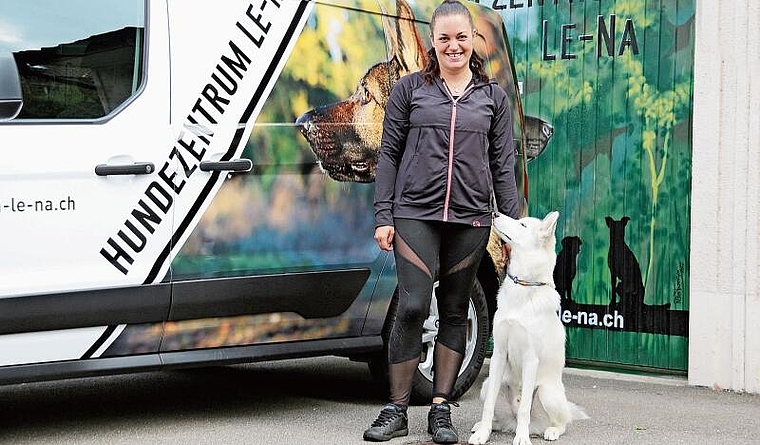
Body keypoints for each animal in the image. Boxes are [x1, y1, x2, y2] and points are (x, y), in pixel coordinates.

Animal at [470, 212, 588, 444]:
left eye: (522, 224)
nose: (494, 213)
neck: (523, 285)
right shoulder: (498, 355)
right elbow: (488, 406)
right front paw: (482, 434)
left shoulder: (530, 359)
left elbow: (524, 407)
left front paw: (522, 438)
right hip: (489, 385)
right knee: (500, 417)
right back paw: (490, 426)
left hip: (547, 393)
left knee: (561, 422)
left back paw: (548, 431)